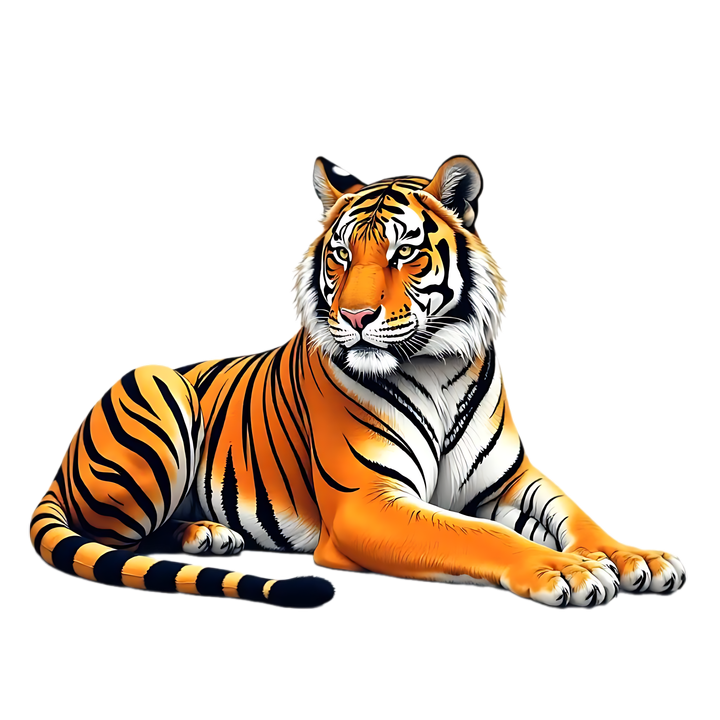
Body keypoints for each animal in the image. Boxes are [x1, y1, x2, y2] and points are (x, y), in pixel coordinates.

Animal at [29, 153, 688, 610]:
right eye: (342, 255)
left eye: (405, 253)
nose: (355, 316)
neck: (437, 364)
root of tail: (59, 468)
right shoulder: (367, 504)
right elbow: (481, 537)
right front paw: (567, 572)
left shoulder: (512, 480)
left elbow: (578, 516)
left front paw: (638, 559)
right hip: (151, 382)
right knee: (119, 537)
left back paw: (209, 534)